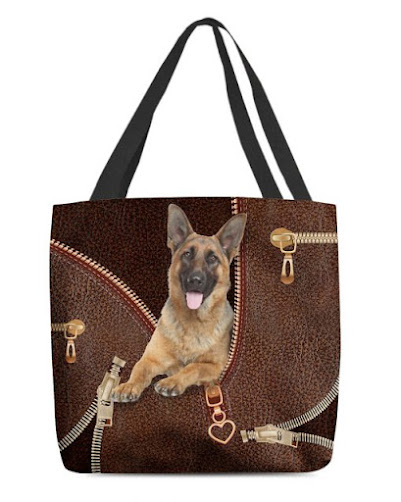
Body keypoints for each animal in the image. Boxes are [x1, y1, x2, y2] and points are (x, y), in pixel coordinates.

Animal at [111, 204, 246, 402]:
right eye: (187, 254)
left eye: (212, 258)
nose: (195, 280)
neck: (192, 322)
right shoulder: (152, 358)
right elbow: (139, 368)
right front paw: (129, 385)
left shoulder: (215, 366)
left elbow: (193, 366)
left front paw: (172, 382)